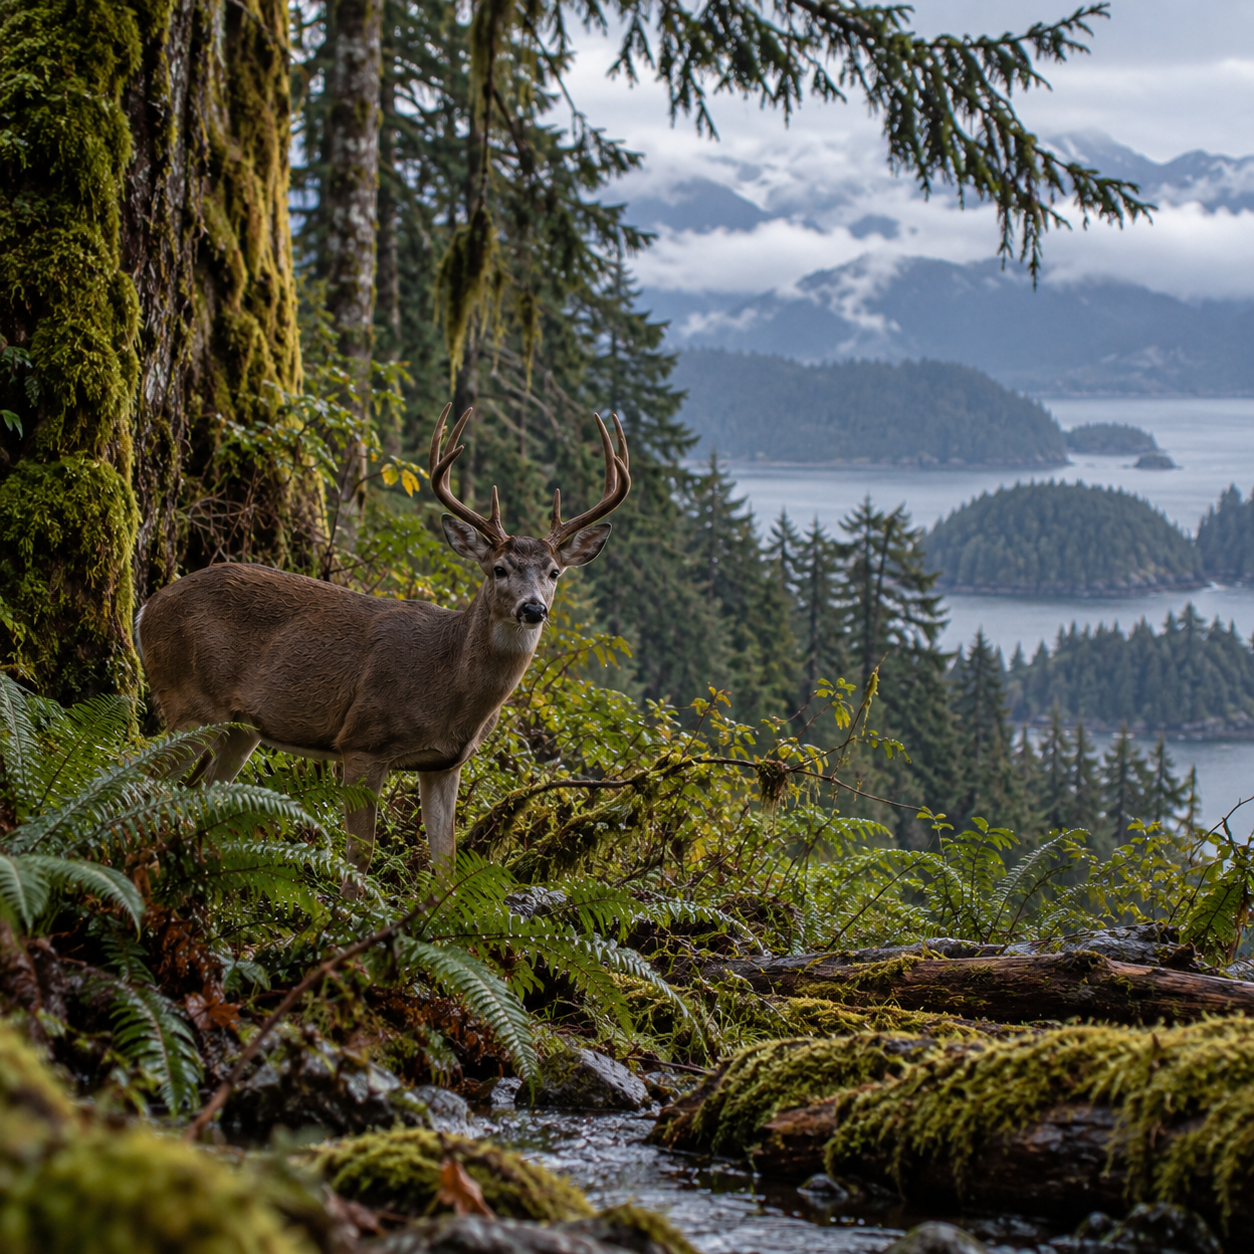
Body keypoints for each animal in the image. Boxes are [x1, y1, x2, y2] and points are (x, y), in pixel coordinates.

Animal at [135, 404, 630, 877]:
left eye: (554, 572)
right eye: (499, 569)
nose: (533, 609)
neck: (448, 685)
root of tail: (145, 610)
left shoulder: (445, 765)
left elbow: (445, 864)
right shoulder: (363, 741)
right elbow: (360, 852)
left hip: (241, 728)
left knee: (197, 794)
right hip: (189, 700)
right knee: (144, 777)